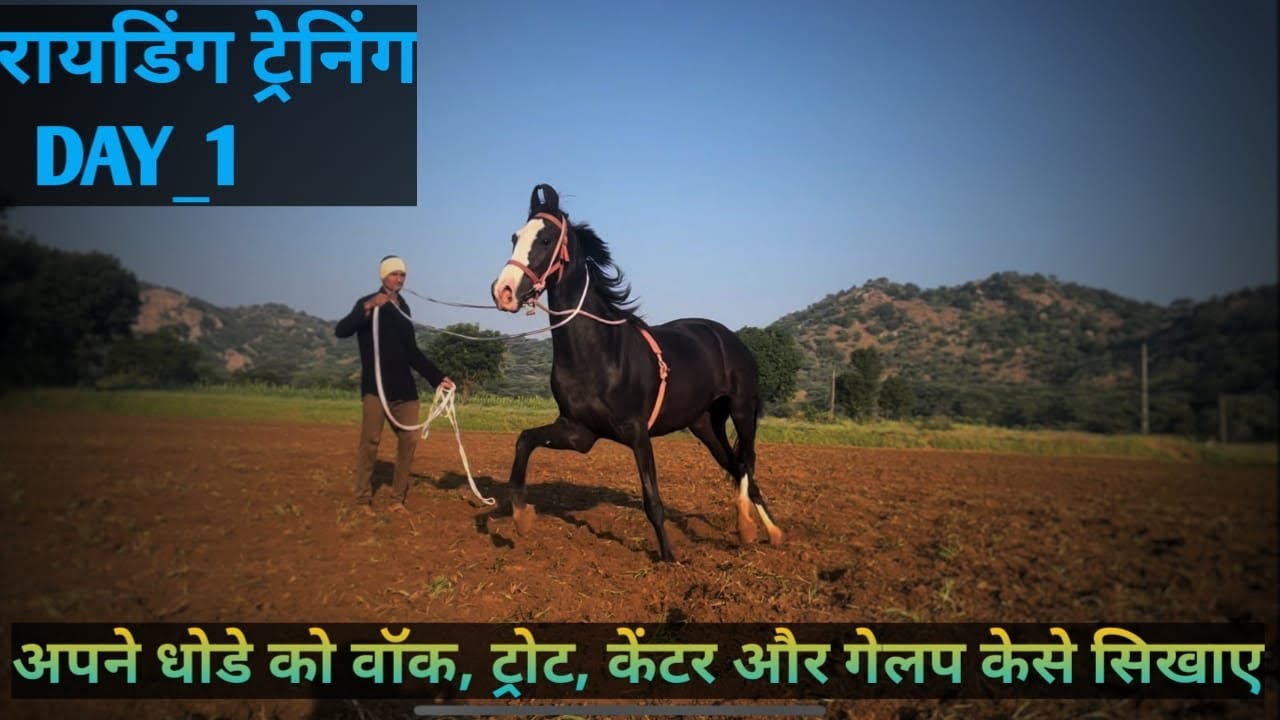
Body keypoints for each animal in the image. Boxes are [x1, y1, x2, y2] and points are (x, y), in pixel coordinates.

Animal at [490, 184, 784, 562]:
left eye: (546, 239)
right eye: (515, 237)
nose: (503, 292)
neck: (600, 352)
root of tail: (729, 337)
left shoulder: (637, 432)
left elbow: (652, 500)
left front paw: (670, 558)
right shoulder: (578, 431)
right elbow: (524, 440)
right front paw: (521, 516)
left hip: (742, 410)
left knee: (747, 463)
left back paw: (755, 527)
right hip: (705, 423)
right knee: (736, 465)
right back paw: (760, 530)